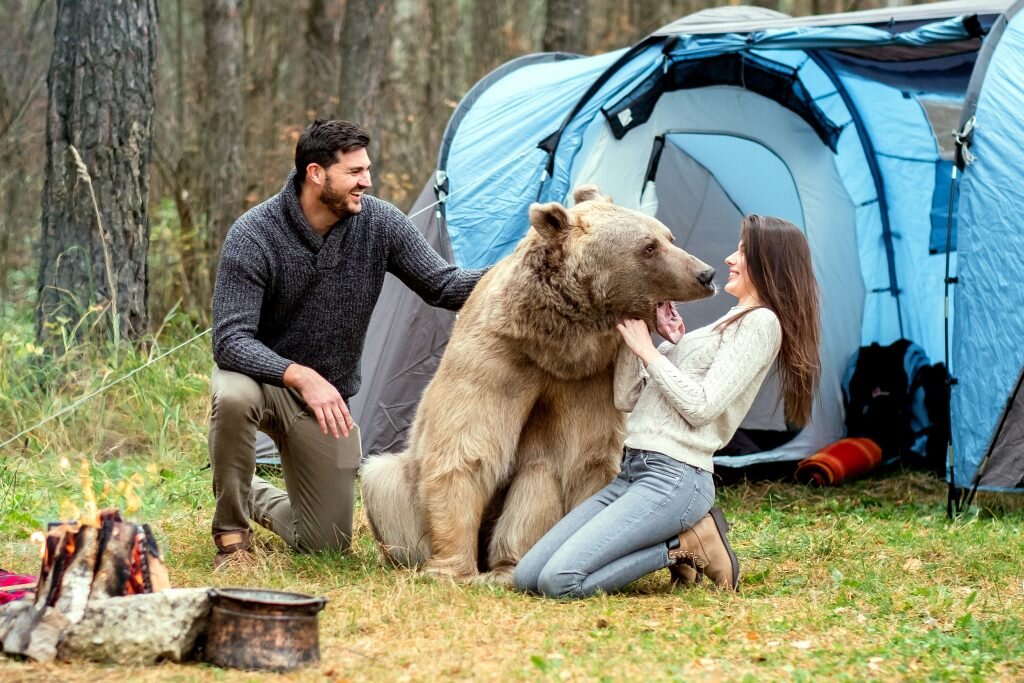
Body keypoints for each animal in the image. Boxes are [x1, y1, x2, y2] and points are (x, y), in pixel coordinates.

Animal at [358, 184, 712, 585]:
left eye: (669, 236)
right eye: (648, 246)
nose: (705, 273)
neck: (554, 344)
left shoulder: (588, 381)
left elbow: (582, 457)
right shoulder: (498, 358)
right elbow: (465, 451)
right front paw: (451, 568)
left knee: (539, 473)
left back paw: (507, 565)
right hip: (400, 490)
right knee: (381, 478)